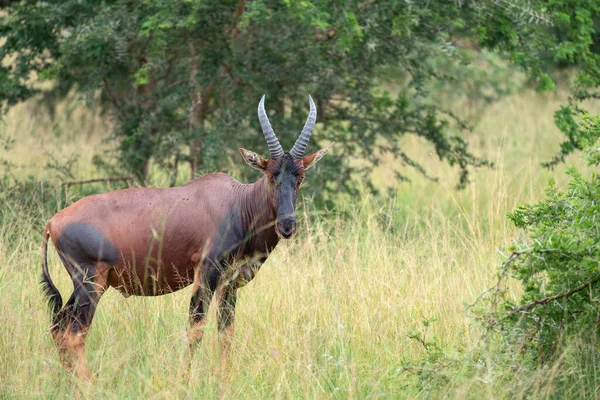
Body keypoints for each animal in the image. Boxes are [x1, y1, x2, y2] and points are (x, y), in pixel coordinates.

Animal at [40, 95, 336, 380]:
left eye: (300, 177)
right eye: (271, 175)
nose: (287, 226)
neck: (237, 203)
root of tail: (53, 221)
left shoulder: (229, 284)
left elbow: (226, 331)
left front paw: (223, 381)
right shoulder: (205, 273)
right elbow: (196, 328)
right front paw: (184, 381)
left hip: (83, 285)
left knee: (59, 328)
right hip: (91, 283)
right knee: (74, 333)